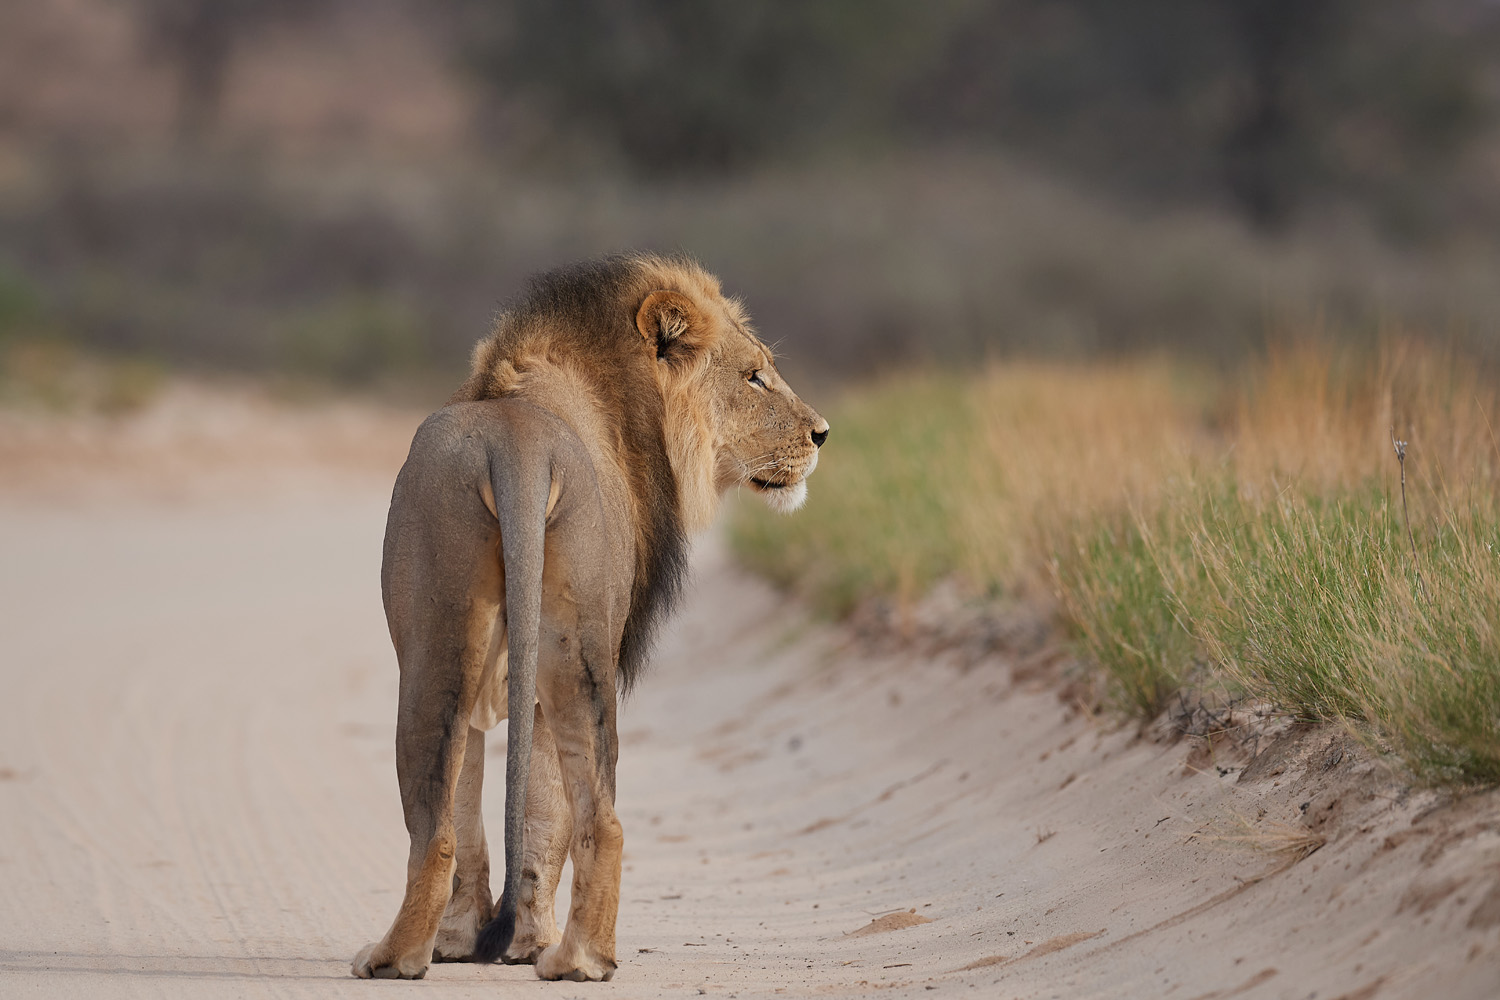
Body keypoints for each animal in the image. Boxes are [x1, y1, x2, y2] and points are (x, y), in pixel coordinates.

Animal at [352, 254, 834, 983]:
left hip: (468, 654)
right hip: (540, 653)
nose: (822, 434)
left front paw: (503, 943)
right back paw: (569, 957)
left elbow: (526, 815)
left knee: (459, 828)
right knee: (571, 821)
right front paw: (486, 941)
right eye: (754, 375)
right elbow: (515, 815)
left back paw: (428, 957)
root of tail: (516, 445)